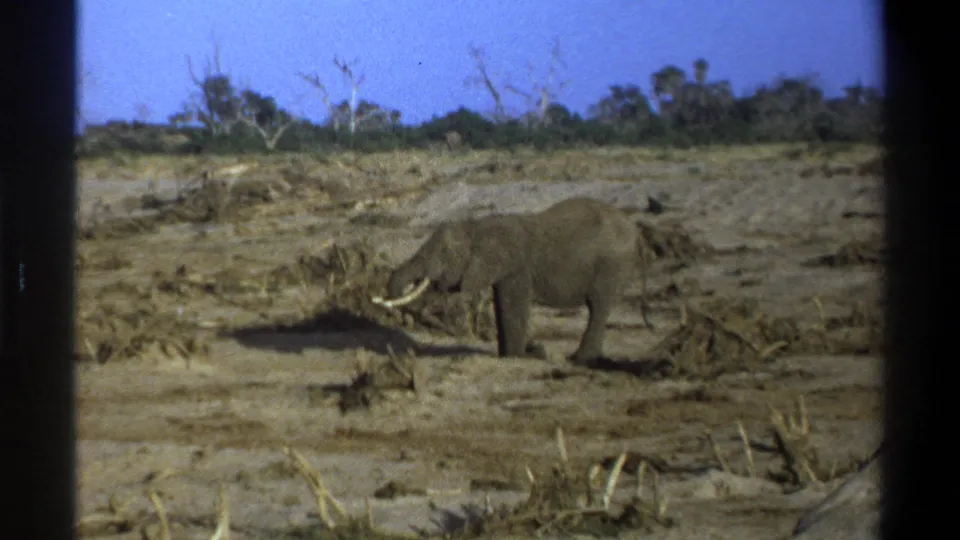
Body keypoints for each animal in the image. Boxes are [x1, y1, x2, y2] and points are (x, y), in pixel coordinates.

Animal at [373, 197, 653, 364]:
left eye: (443, 253)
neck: (476, 227)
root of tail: (636, 231)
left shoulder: (516, 267)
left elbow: (512, 306)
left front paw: (517, 357)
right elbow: (501, 305)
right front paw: (511, 354)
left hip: (612, 264)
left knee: (598, 306)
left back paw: (579, 359)